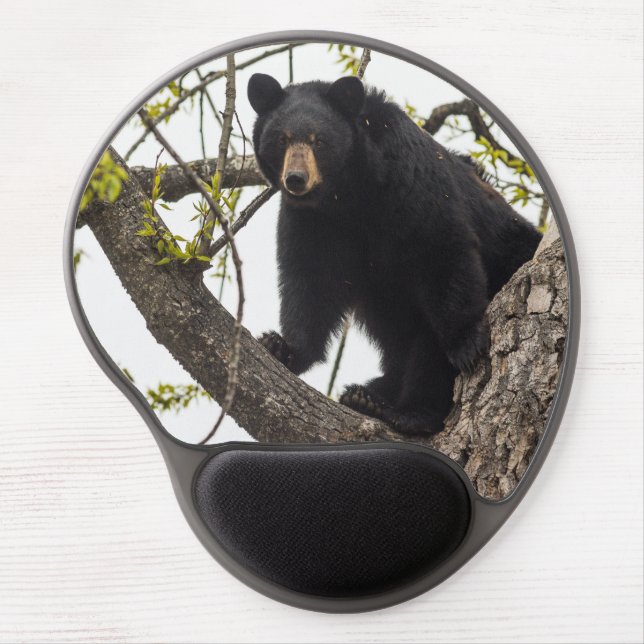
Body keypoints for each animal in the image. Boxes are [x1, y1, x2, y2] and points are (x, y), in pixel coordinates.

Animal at [247, 73, 542, 435]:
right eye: (282, 139)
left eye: (319, 141)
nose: (296, 179)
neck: (348, 195)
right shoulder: (311, 222)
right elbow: (311, 281)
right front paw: (282, 346)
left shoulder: (411, 183)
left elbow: (443, 250)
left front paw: (466, 343)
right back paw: (367, 395)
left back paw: (405, 410)